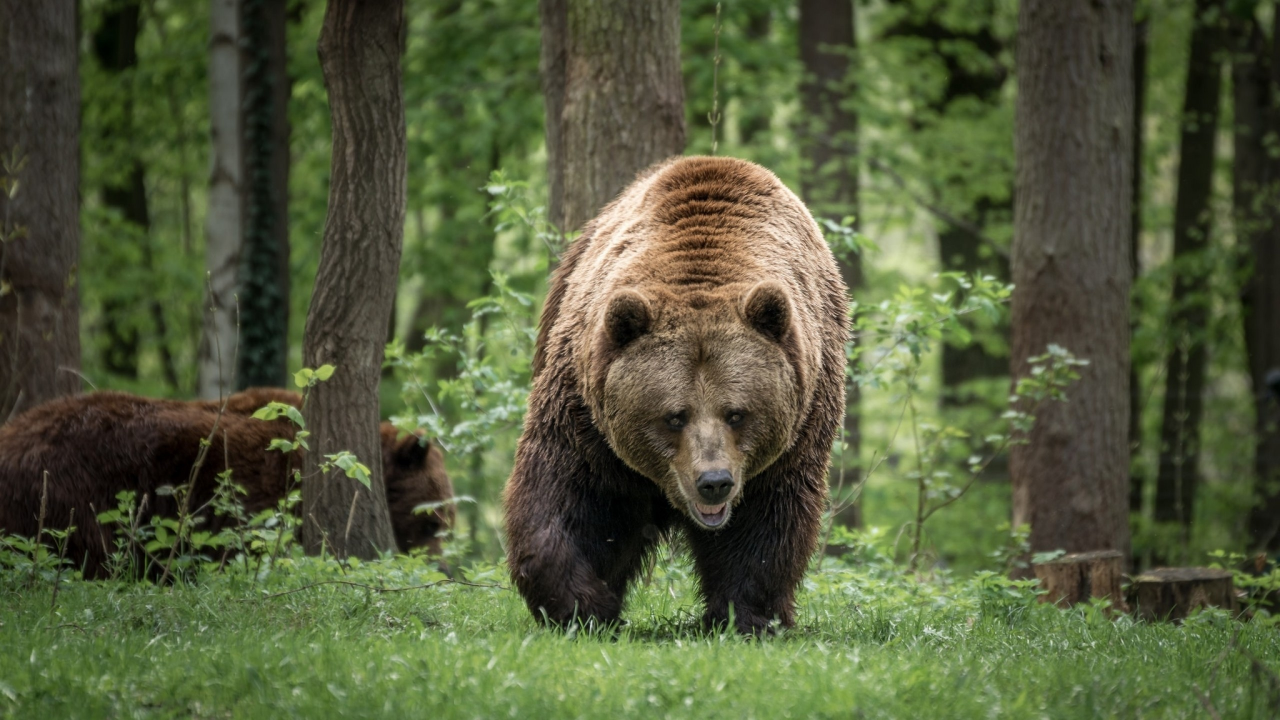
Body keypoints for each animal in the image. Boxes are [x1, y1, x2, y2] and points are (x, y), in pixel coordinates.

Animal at [501, 156, 849, 632]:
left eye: (737, 413)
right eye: (674, 416)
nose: (714, 482)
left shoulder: (798, 426)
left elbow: (767, 523)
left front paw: (747, 615)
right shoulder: (585, 416)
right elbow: (563, 495)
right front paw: (582, 605)